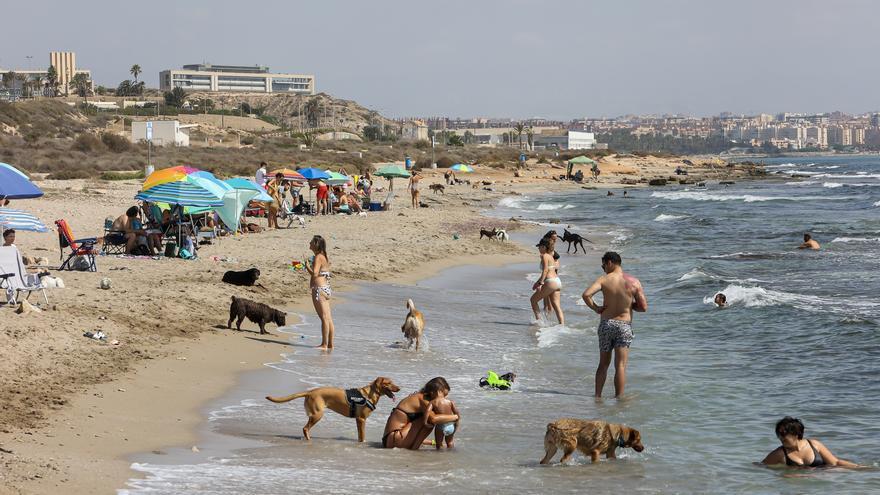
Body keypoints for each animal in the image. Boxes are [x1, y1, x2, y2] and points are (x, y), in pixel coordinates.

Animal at [262, 378, 398, 444]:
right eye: (389, 383)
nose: (400, 388)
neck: (369, 394)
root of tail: (310, 391)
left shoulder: (359, 420)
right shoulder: (361, 419)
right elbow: (362, 435)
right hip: (317, 414)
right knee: (305, 428)